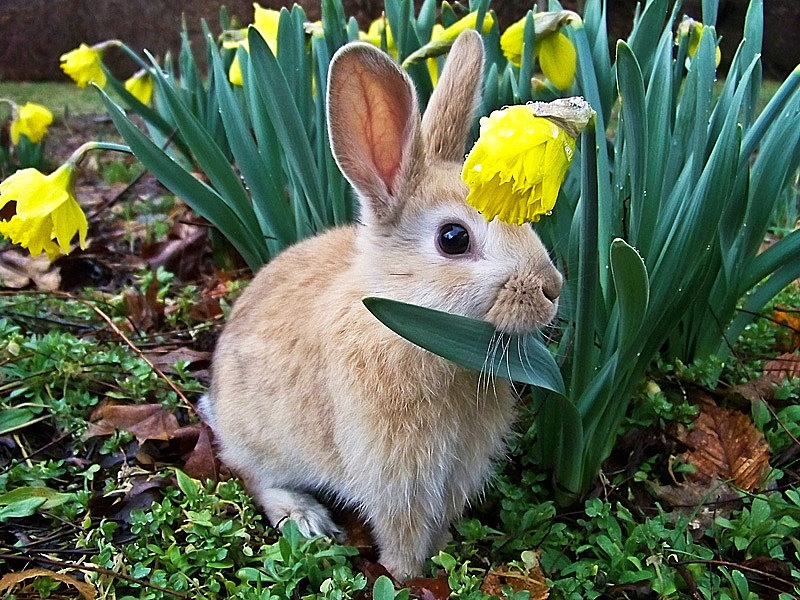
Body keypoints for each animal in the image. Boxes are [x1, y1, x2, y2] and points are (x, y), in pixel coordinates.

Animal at [200, 30, 564, 580]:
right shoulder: (396, 475)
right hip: (263, 441)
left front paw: (439, 556)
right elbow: (401, 531)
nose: (552, 289)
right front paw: (406, 575)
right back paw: (304, 518)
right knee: (253, 473)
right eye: (454, 238)